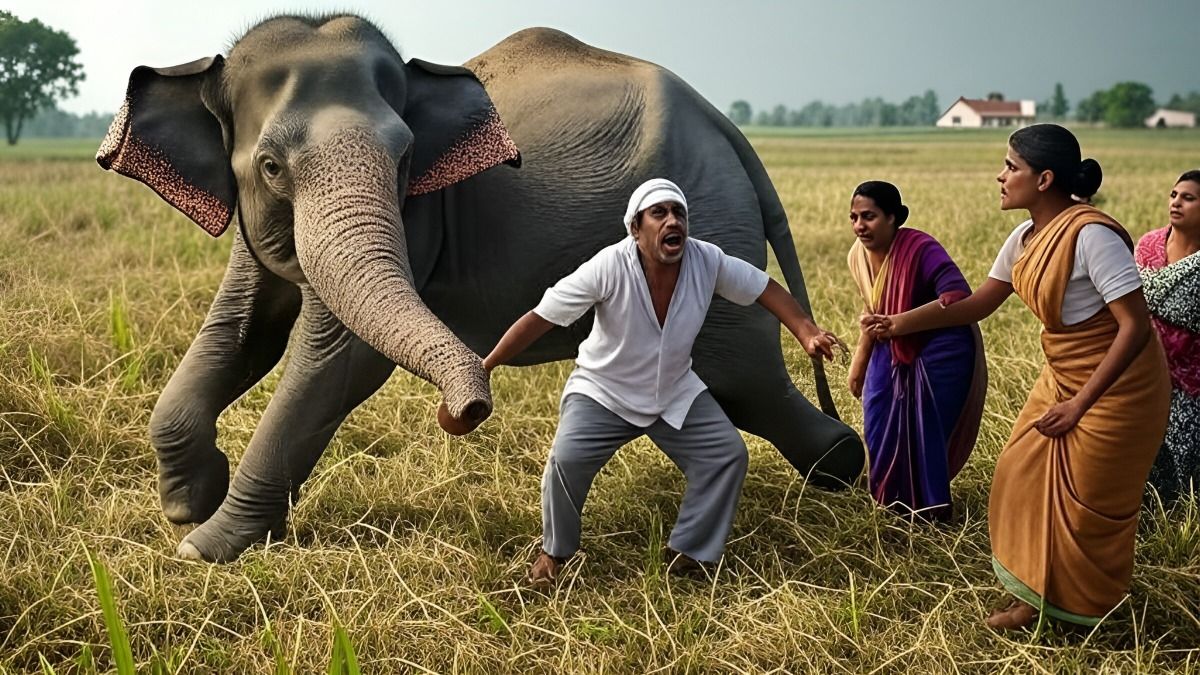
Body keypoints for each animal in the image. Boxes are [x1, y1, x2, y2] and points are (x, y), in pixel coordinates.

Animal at [97, 13, 864, 563]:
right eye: (271, 167)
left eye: (406, 157)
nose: (464, 409)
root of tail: (724, 124)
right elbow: (242, 328)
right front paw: (189, 501)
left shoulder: (416, 219)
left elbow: (339, 361)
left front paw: (202, 549)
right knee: (745, 384)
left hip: (715, 214)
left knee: (745, 378)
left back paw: (847, 468)